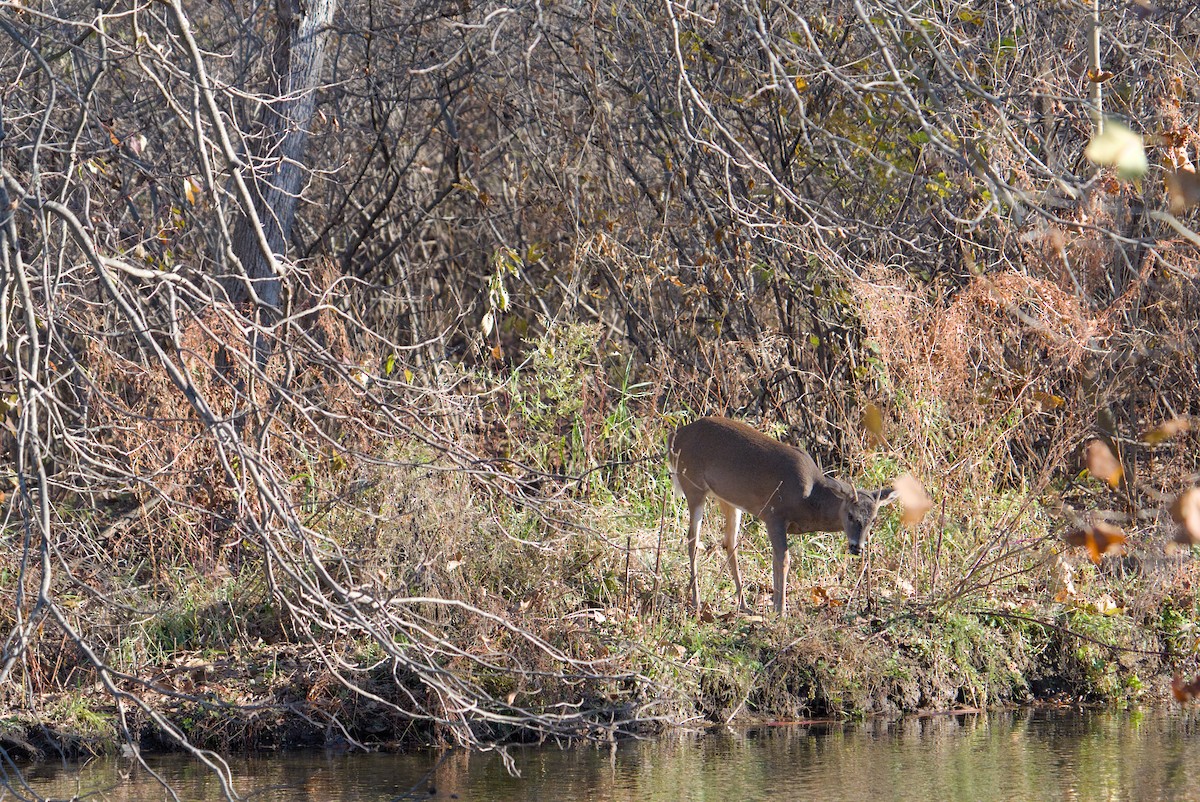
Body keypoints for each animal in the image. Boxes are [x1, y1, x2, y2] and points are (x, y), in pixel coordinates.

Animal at [668, 416, 898, 615]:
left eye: (873, 520)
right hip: (693, 485)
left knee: (729, 542)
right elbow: (784, 559)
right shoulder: (774, 514)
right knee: (692, 540)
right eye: (850, 515)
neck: (809, 499)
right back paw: (697, 602)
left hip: (729, 499)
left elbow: (775, 559)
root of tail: (676, 436)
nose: (857, 547)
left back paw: (744, 605)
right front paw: (781, 610)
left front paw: (775, 606)